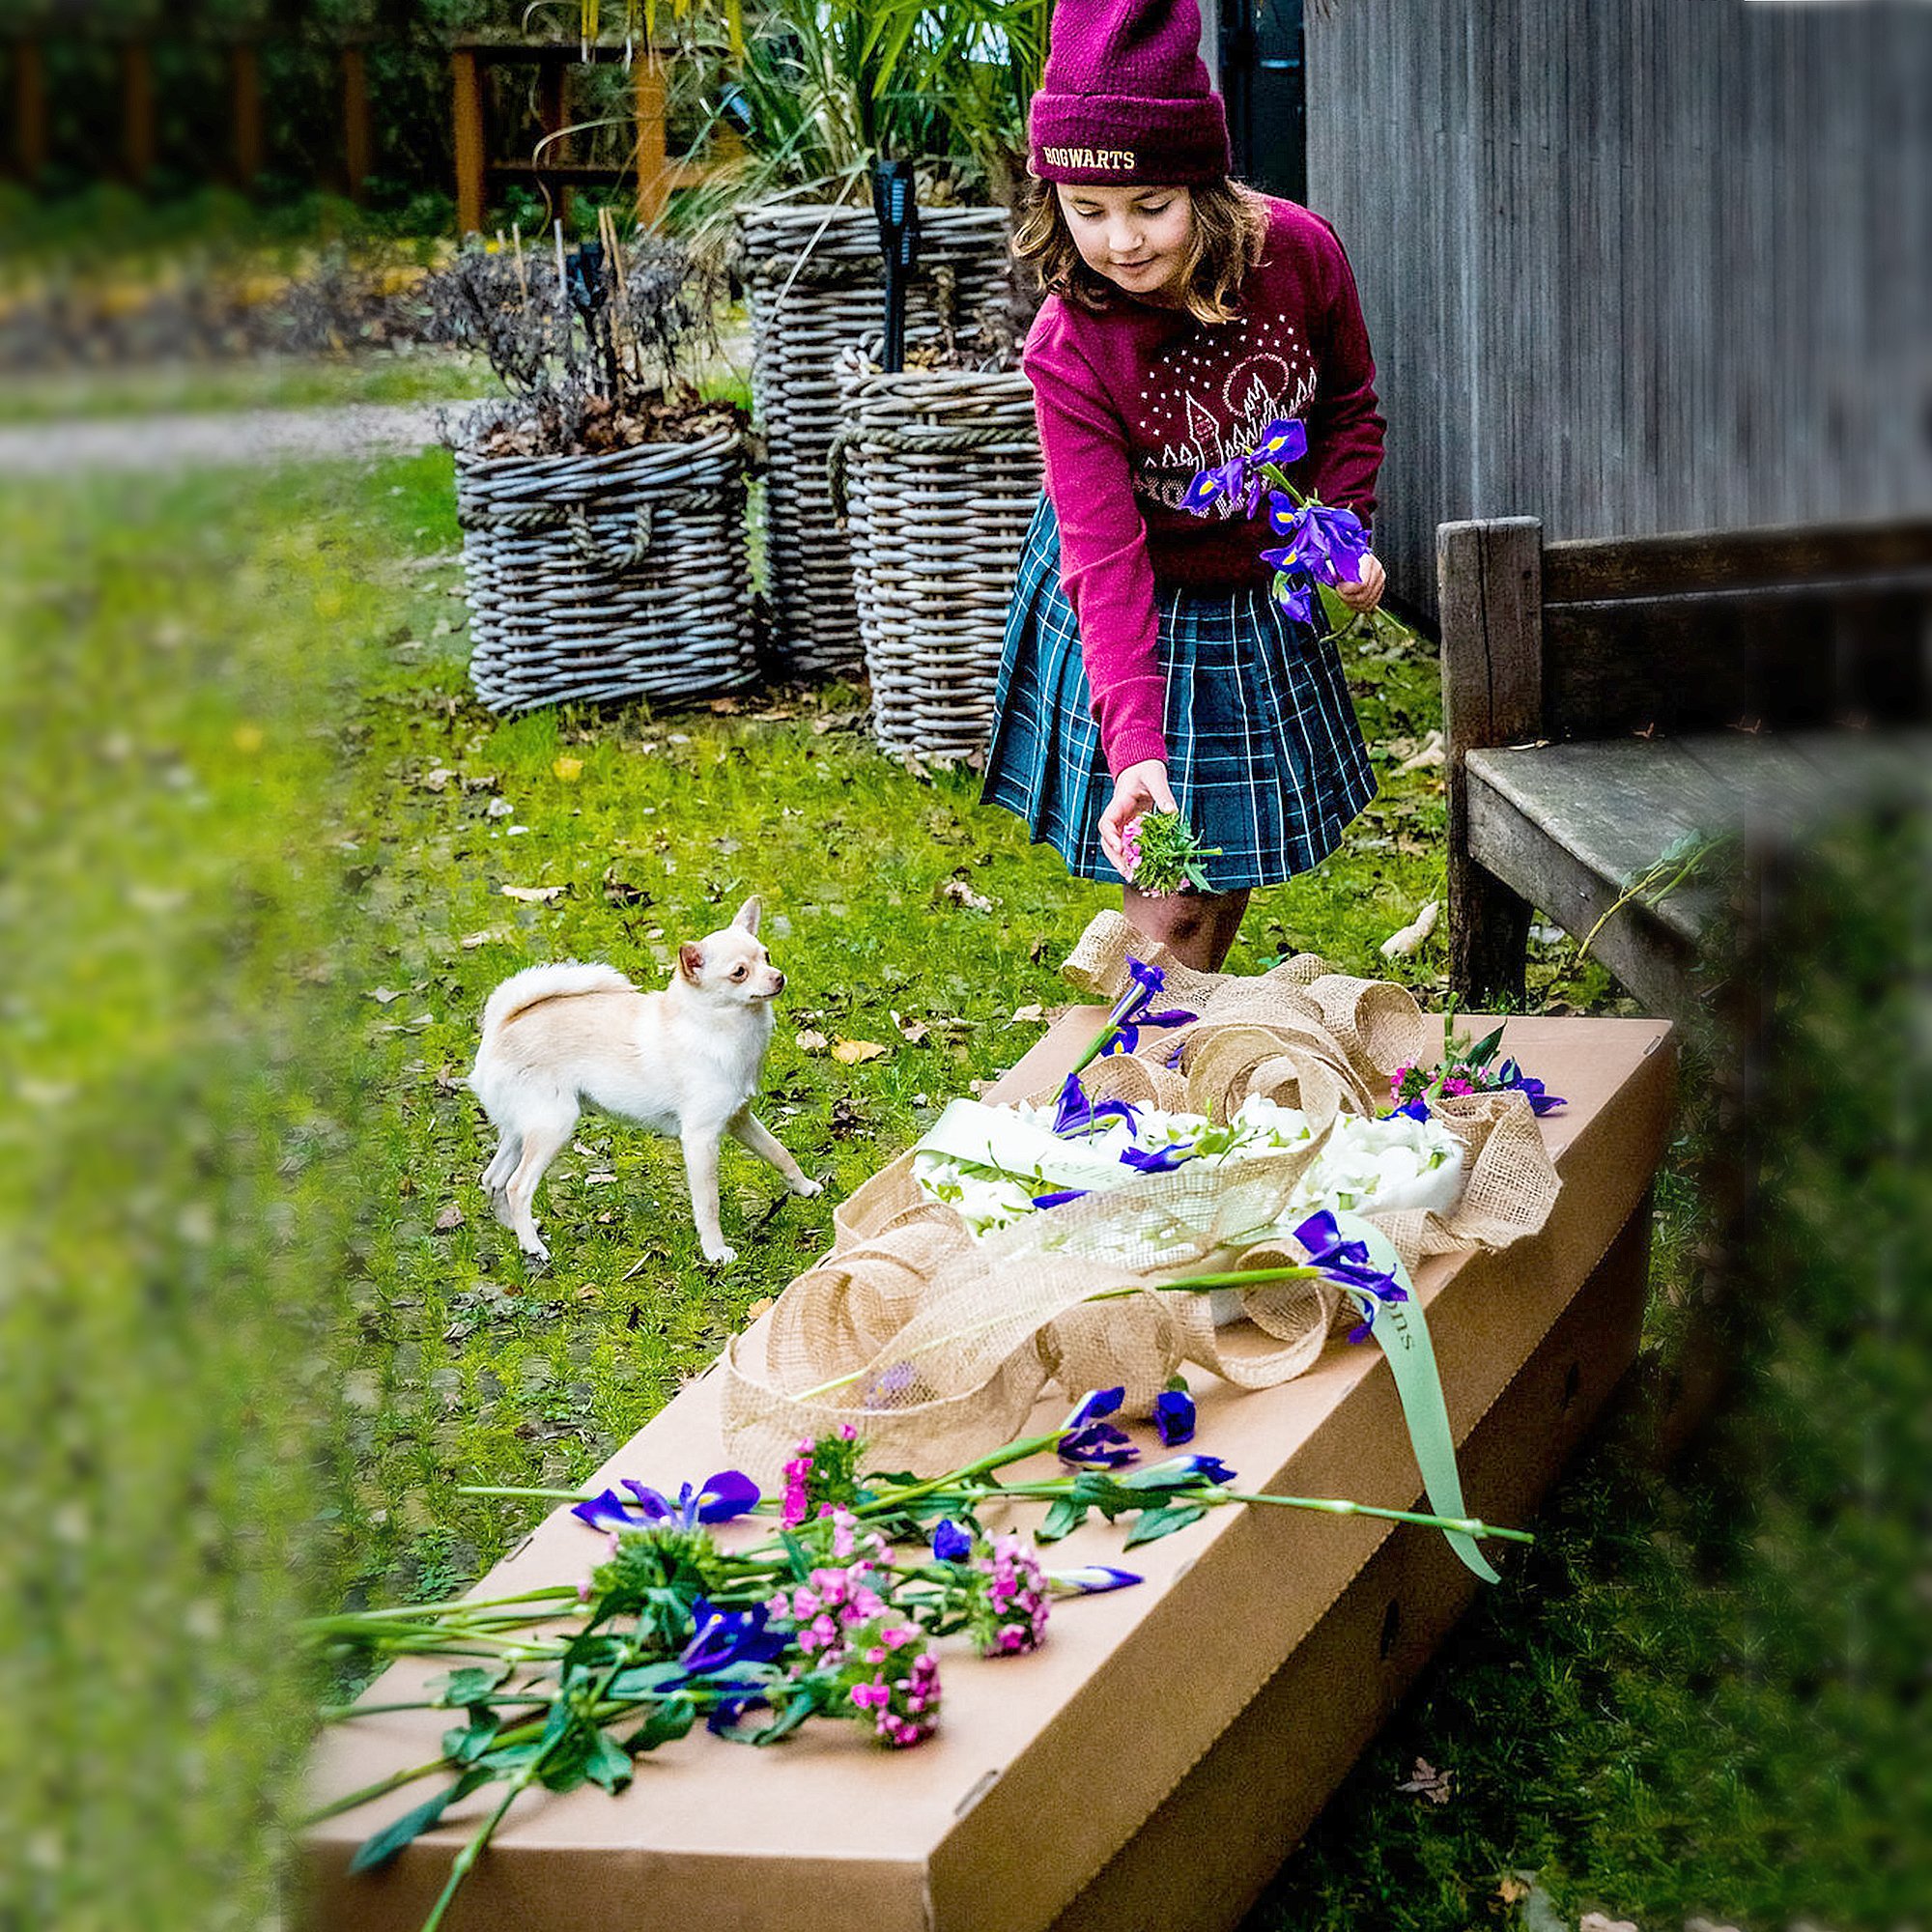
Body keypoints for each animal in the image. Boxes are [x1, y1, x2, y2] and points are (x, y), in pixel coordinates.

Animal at [479, 900, 827, 1267]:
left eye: (767, 956)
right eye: (739, 973)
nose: (779, 977)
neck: (716, 1027)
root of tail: (502, 1025)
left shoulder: (739, 1119)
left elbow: (779, 1153)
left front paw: (805, 1187)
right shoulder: (700, 1140)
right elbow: (708, 1204)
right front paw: (715, 1251)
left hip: (521, 1132)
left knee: (494, 1179)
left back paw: (515, 1229)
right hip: (553, 1127)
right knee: (517, 1186)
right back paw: (533, 1246)